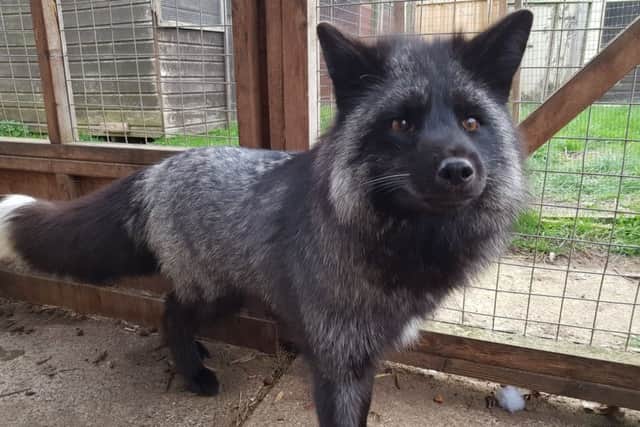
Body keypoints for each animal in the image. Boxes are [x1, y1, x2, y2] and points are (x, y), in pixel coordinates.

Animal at [0, 10, 532, 427]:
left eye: (471, 122)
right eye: (401, 124)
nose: (458, 170)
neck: (401, 243)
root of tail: (159, 168)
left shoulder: (365, 358)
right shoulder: (339, 365)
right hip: (214, 291)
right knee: (169, 311)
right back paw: (195, 374)